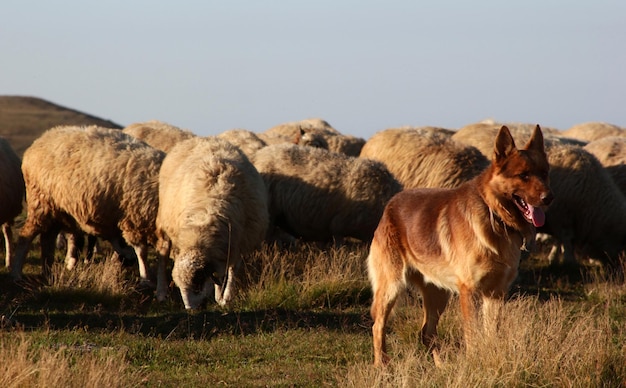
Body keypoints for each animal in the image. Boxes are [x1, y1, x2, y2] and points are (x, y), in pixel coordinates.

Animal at [11, 126, 166, 290]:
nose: (128, 262)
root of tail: (40, 141)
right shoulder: (135, 219)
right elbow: (141, 251)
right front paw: (146, 278)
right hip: (40, 202)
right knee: (26, 236)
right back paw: (16, 274)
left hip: (56, 211)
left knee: (47, 239)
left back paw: (48, 274)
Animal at [156, 136, 268, 310]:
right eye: (180, 287)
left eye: (197, 284)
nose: (189, 310)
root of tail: (204, 138)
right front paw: (219, 296)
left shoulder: (237, 244)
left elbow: (229, 271)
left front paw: (224, 298)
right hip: (164, 223)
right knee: (162, 255)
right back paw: (161, 293)